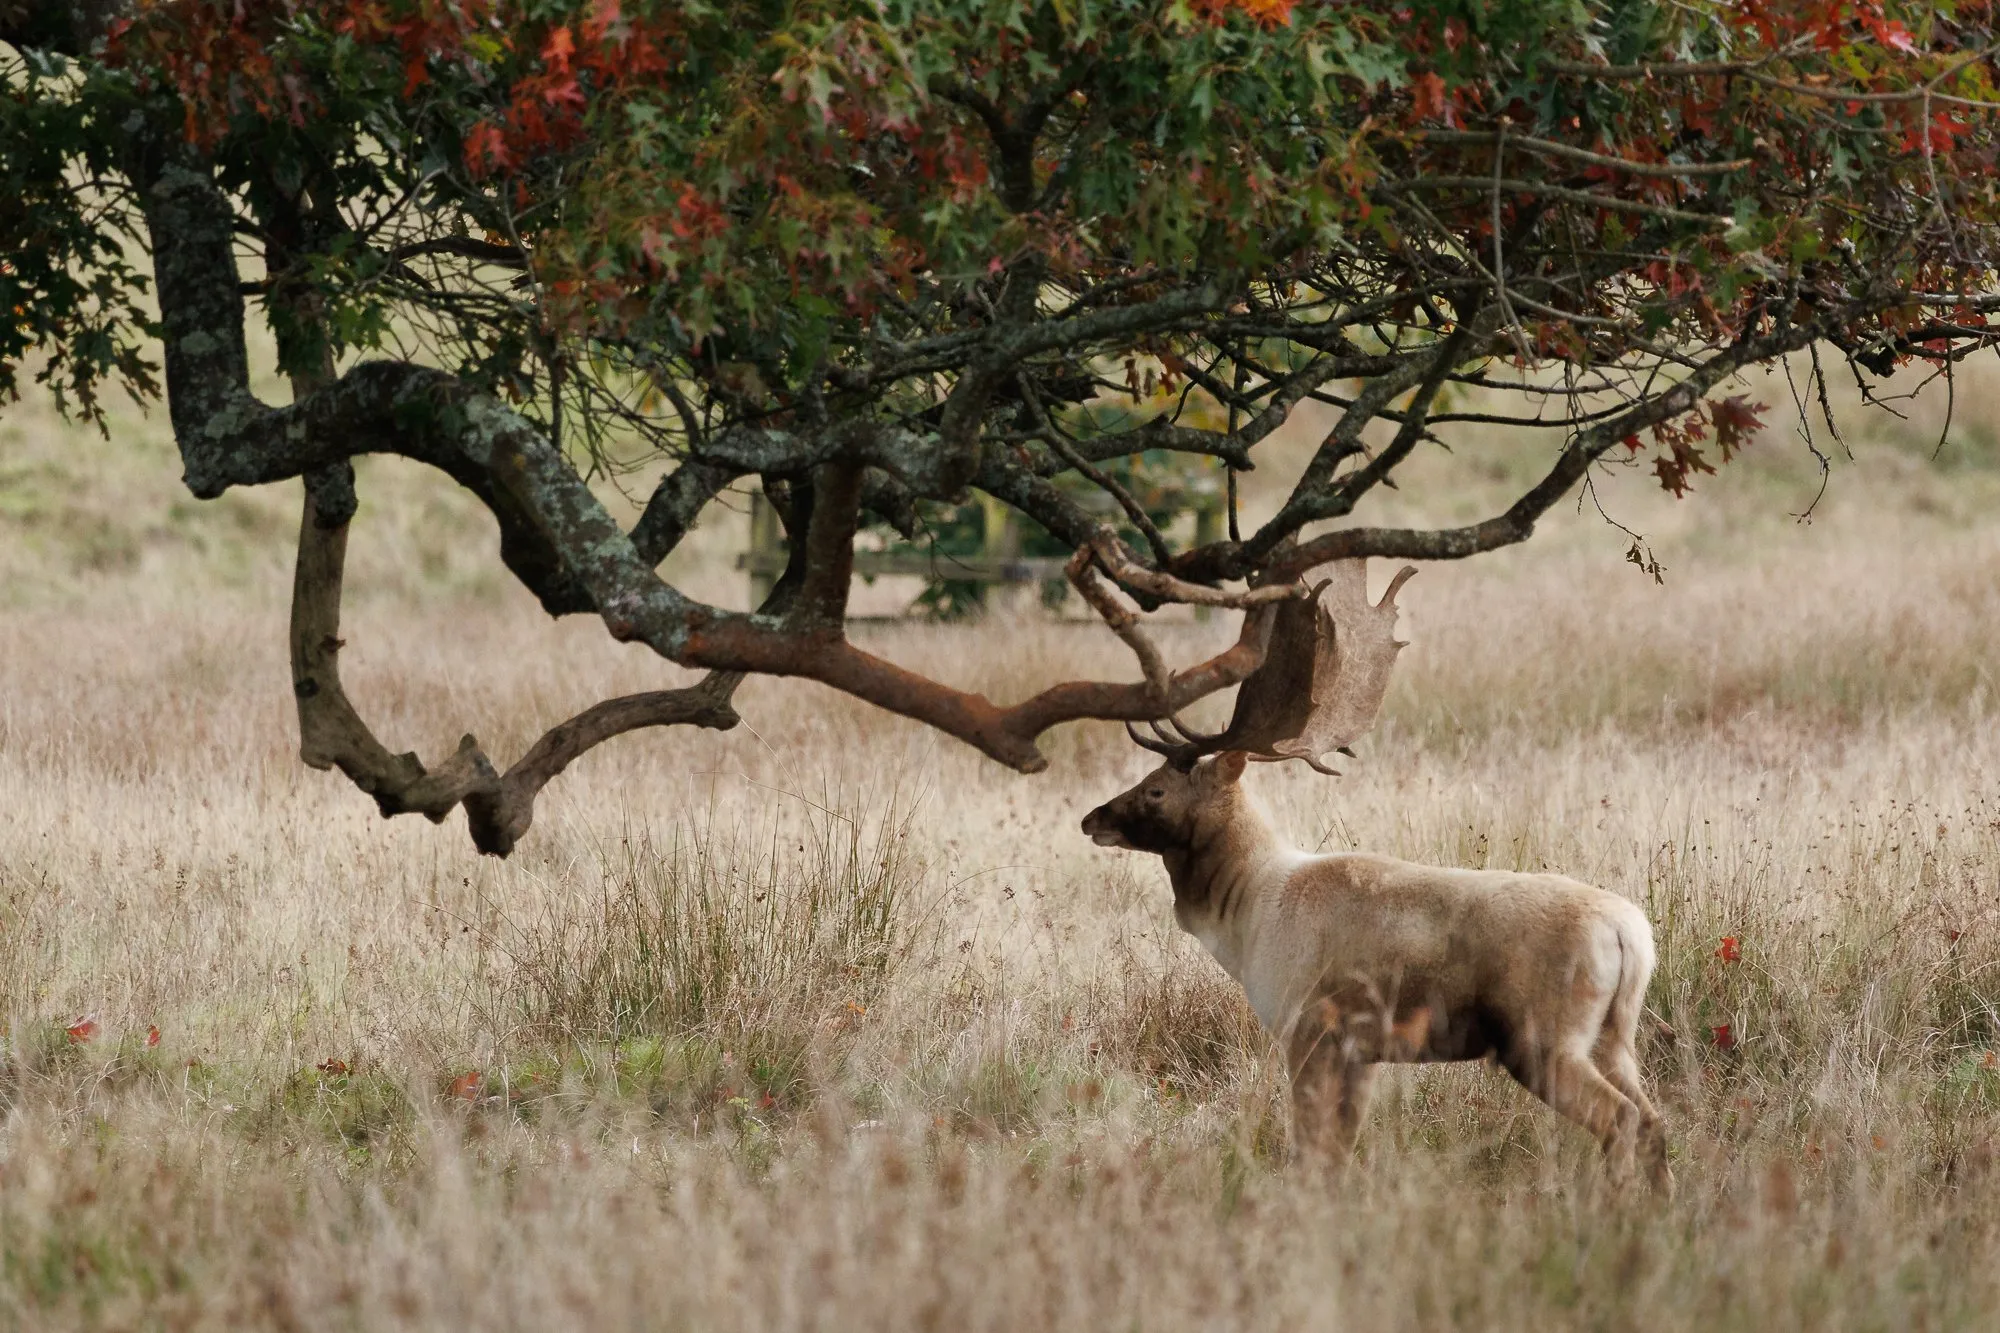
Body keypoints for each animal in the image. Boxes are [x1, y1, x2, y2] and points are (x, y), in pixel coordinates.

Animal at [1081, 562, 1672, 1192]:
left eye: (1156, 789)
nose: (1094, 818)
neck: (1251, 911)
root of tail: (1631, 935)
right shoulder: (1359, 1051)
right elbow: (1339, 1148)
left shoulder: (1308, 1025)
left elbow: (1309, 1145)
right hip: (1614, 1036)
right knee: (1653, 1118)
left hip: (1542, 1036)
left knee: (1621, 1117)